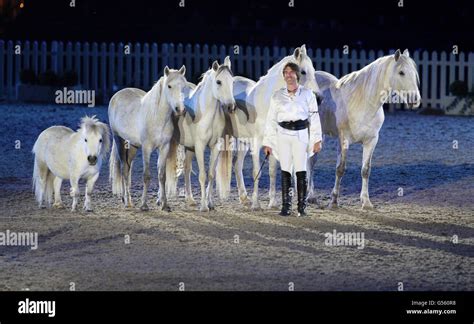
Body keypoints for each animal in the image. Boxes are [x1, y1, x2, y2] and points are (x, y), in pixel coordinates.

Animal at [108, 66, 188, 213]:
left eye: (183, 86)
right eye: (169, 86)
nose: (180, 109)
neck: (156, 117)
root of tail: (117, 94)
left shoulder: (164, 147)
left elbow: (162, 176)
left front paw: (165, 205)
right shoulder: (146, 149)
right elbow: (146, 176)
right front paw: (144, 205)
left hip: (133, 146)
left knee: (128, 168)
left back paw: (125, 199)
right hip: (119, 139)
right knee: (124, 168)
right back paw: (127, 202)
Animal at [176, 55, 235, 213]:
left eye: (232, 81)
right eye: (219, 82)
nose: (231, 107)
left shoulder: (215, 147)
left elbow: (211, 174)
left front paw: (210, 203)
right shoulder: (200, 147)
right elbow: (202, 175)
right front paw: (203, 206)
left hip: (189, 149)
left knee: (187, 168)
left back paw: (190, 200)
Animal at [312, 49, 422, 209]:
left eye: (414, 73)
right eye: (401, 72)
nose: (415, 100)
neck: (362, 103)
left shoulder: (371, 141)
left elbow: (365, 170)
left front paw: (366, 202)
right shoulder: (344, 140)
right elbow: (340, 169)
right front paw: (333, 202)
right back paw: (309, 196)